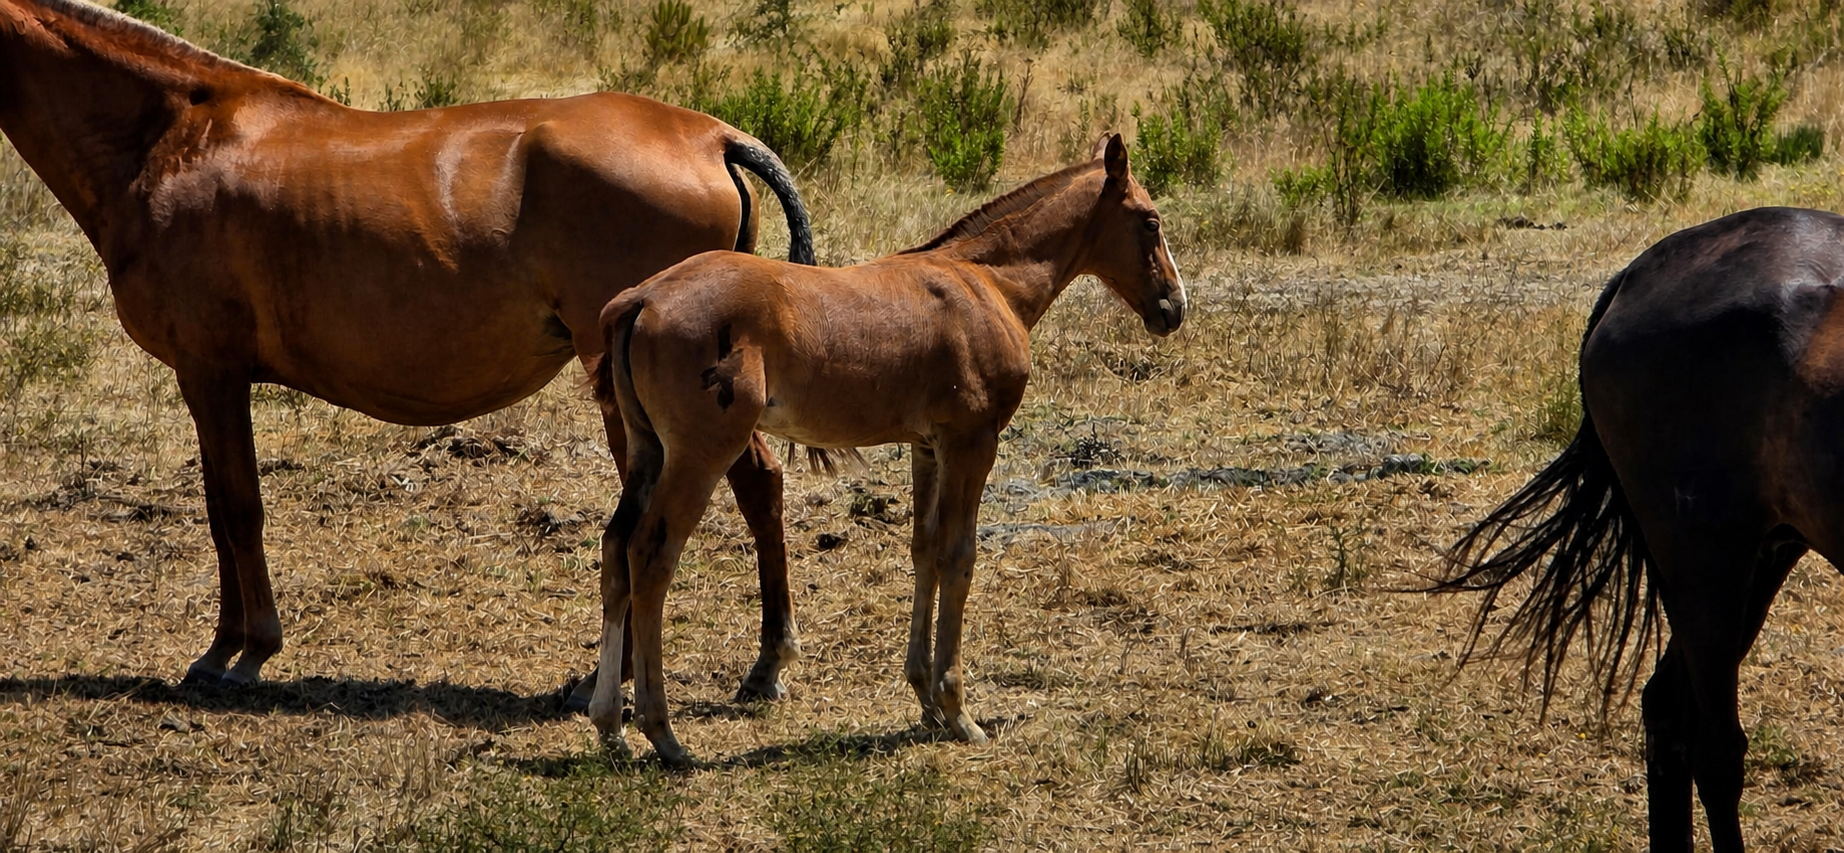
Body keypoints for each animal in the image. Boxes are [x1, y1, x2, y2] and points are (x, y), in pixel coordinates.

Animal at [0, 0, 812, 704]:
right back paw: (762, 663)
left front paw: (242, 649)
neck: (174, 141)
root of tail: (710, 137)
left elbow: (237, 507)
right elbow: (218, 506)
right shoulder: (207, 380)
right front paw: (229, 643)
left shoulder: (211, 373)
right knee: (758, 486)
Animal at [585, 134, 1186, 765]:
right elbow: (959, 556)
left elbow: (924, 550)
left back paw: (609, 723)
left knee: (616, 548)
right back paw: (662, 732)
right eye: (1150, 221)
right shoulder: (973, 441)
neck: (987, 282)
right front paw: (957, 709)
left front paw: (925, 697)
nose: (1174, 307)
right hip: (700, 455)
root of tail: (641, 299)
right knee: (651, 555)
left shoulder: (928, 448)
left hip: (647, 451)